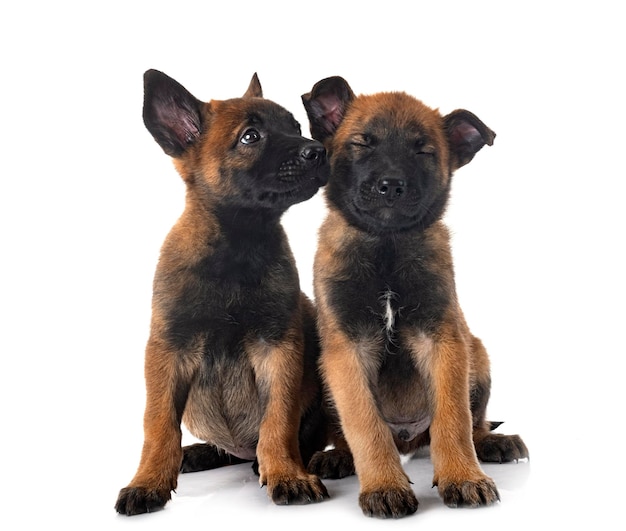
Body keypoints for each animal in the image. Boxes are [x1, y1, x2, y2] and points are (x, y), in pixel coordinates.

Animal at [117, 69, 332, 516]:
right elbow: (158, 425)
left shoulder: (278, 348)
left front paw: (286, 472)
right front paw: (148, 481)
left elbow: (278, 420)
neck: (238, 246)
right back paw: (201, 453)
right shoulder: (168, 351)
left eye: (296, 127)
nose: (318, 150)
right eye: (250, 137)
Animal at [302, 79, 528, 520]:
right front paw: (384, 485)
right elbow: (364, 423)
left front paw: (463, 476)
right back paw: (338, 456)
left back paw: (492, 443)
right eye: (362, 143)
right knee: (347, 432)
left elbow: (453, 420)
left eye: (423, 151)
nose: (391, 185)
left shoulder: (442, 339)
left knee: (474, 422)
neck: (386, 248)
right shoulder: (346, 348)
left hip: (477, 353)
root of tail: (407, 438)